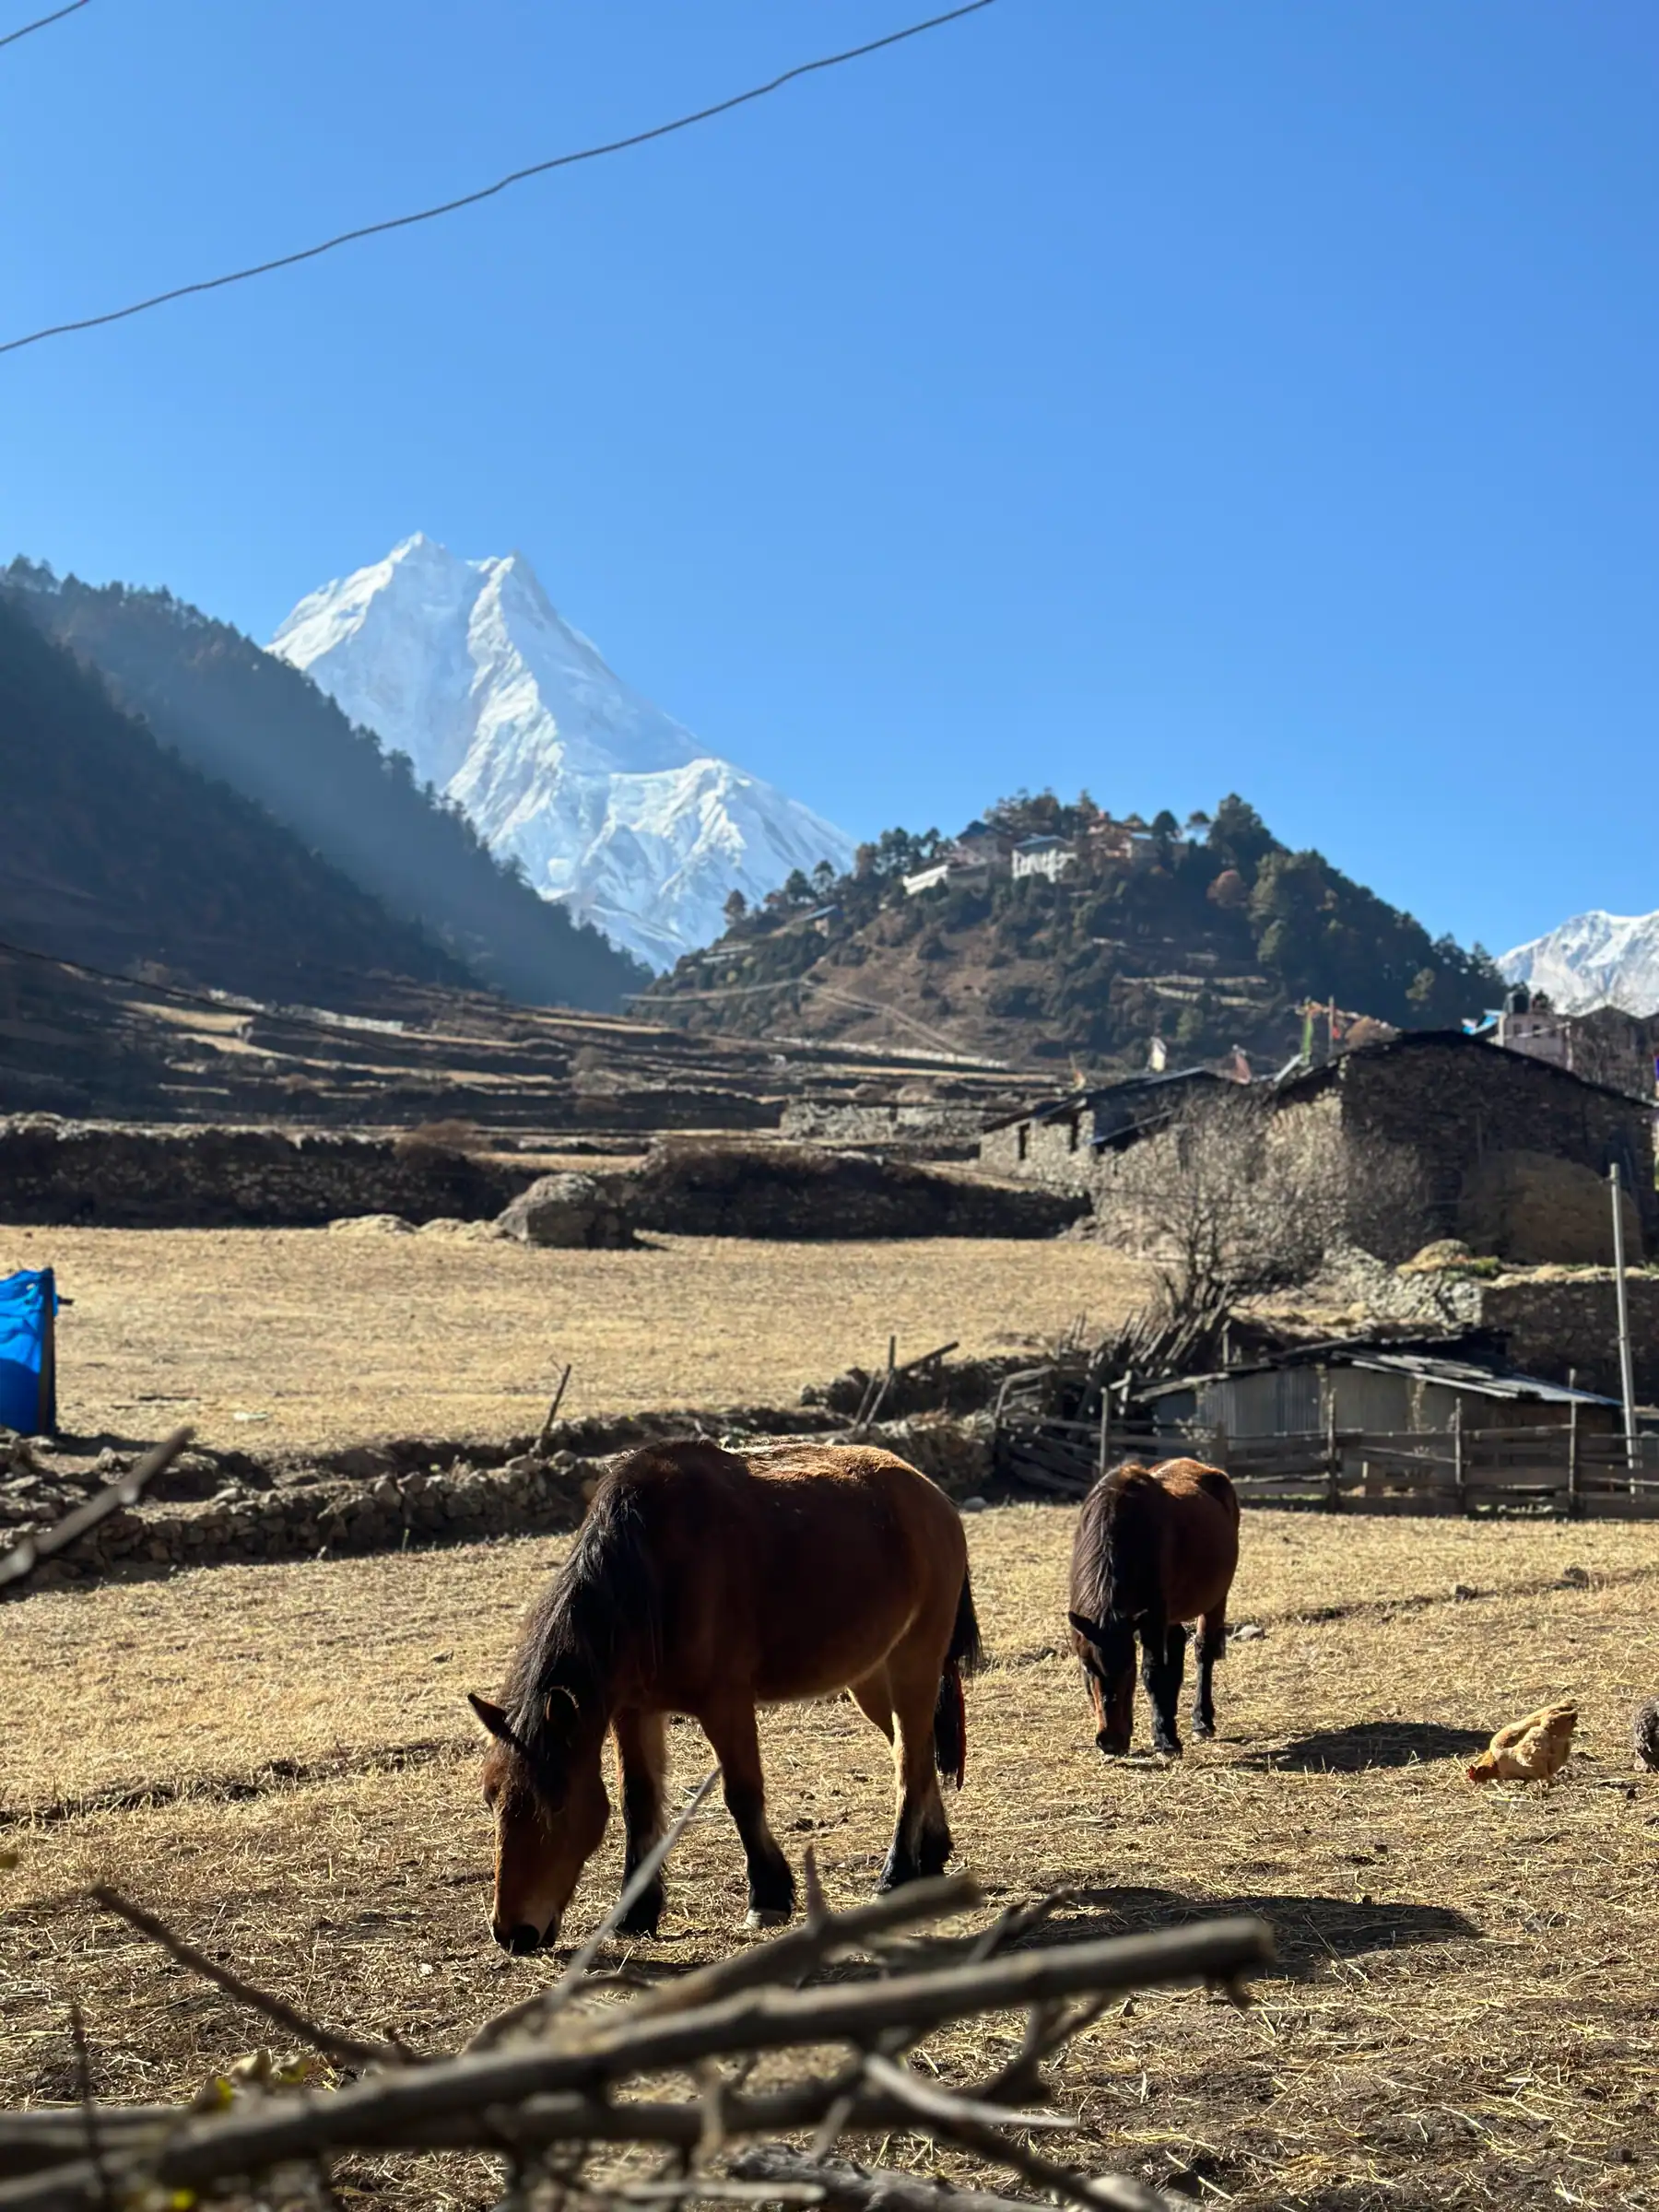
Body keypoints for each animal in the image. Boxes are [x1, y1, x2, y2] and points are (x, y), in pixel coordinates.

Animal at [468, 1438, 982, 1953]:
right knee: (914, 1751)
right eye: (493, 1799)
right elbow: (639, 1800)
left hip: (914, 1661)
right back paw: (931, 1853)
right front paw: (638, 1910)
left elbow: (743, 1794)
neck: (651, 1568)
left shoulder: (725, 1704)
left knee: (909, 1761)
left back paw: (898, 1873)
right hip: (871, 1678)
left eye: (554, 1805)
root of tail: (932, 1495)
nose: (512, 1933)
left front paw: (768, 1896)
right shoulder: (634, 1711)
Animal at [1067, 1458, 1239, 1759]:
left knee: (1203, 1650)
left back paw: (1202, 1720)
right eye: (1087, 1668)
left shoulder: (1153, 1620)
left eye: (1127, 1668)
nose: (1109, 1741)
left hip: (1216, 1600)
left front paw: (1165, 1740)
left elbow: (1154, 1674)